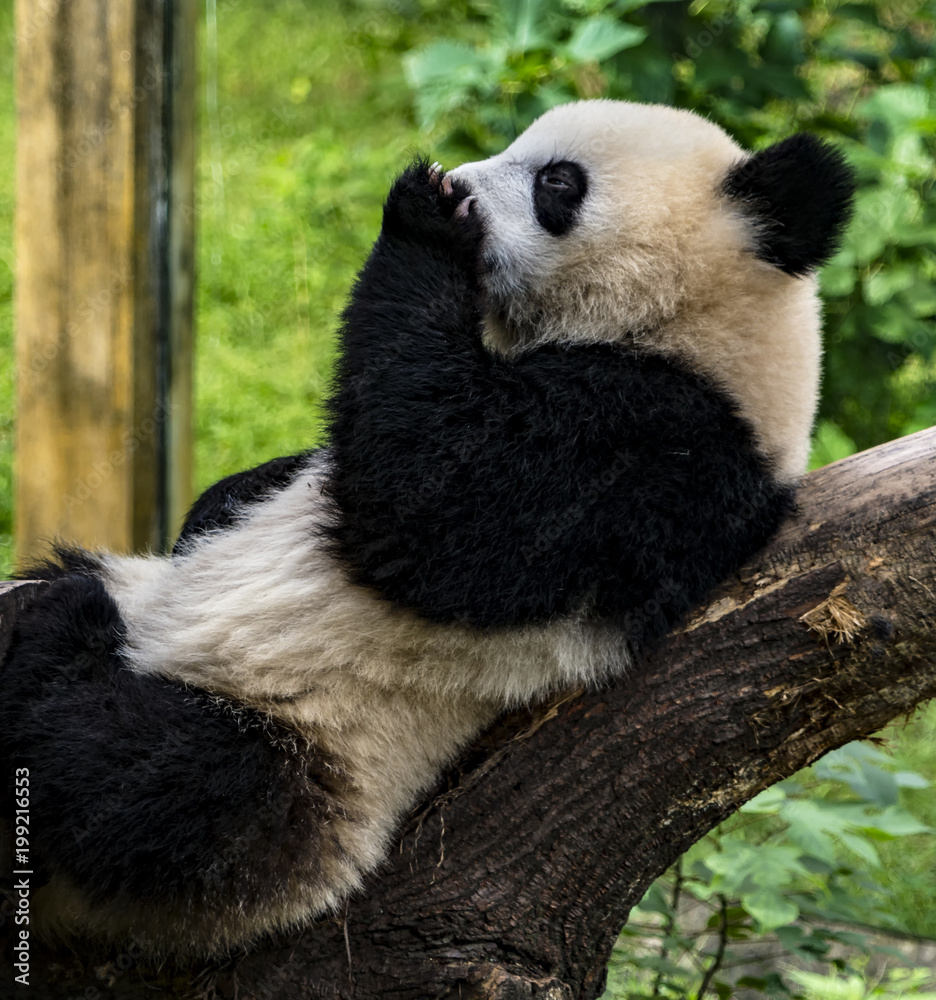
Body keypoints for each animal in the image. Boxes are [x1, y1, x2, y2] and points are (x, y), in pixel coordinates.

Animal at [0, 100, 854, 957]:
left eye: (558, 182)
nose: (465, 188)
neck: (693, 334)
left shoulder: (657, 450)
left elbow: (440, 511)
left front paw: (424, 214)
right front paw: (220, 503)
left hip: (304, 755)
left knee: (132, 770)